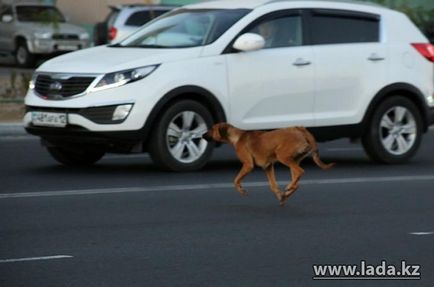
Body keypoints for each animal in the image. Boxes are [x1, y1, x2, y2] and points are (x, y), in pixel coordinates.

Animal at [203, 124, 336, 207]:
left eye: (212, 128)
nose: (202, 135)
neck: (237, 136)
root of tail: (300, 128)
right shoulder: (268, 167)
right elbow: (273, 185)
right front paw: (280, 196)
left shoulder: (248, 165)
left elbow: (236, 180)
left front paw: (241, 191)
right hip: (293, 160)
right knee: (297, 181)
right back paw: (287, 192)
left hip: (283, 157)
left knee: (300, 172)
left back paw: (288, 187)